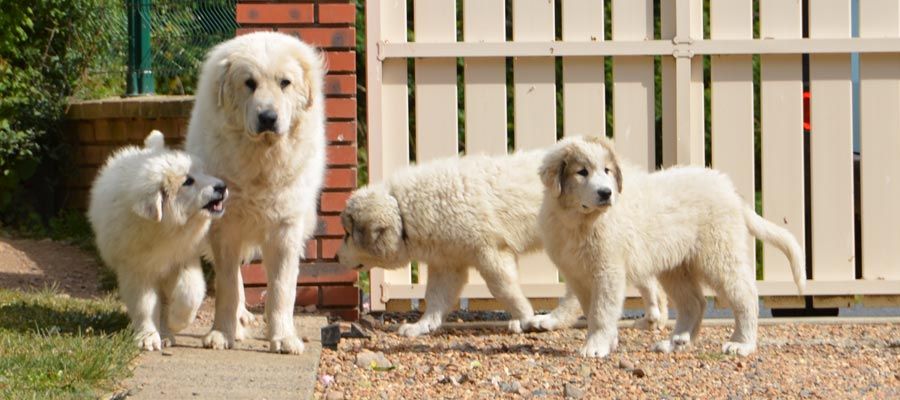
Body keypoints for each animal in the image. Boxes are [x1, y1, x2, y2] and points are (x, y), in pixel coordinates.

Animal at [89, 130, 229, 350]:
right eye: (188, 182)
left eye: (203, 172)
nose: (222, 186)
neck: (166, 230)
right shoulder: (136, 271)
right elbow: (145, 305)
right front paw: (147, 337)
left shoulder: (184, 259)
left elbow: (191, 293)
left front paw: (176, 321)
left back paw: (166, 332)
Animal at [185, 32, 326, 354]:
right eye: (249, 83)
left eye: (285, 82)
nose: (268, 117)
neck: (262, 160)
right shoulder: (224, 229)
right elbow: (228, 287)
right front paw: (222, 333)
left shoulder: (286, 230)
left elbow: (282, 290)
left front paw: (283, 337)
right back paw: (237, 325)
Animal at [338, 150, 668, 338]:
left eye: (347, 234)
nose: (335, 256)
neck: (404, 210)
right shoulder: (448, 263)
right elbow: (435, 299)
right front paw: (422, 327)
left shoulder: (490, 251)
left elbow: (503, 289)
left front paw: (525, 318)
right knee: (647, 279)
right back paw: (653, 318)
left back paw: (549, 320)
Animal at [536, 136, 804, 358]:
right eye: (581, 172)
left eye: (607, 170)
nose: (606, 193)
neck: (580, 221)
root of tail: (728, 188)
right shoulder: (578, 275)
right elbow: (592, 310)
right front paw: (606, 342)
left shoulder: (608, 270)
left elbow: (602, 312)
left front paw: (595, 347)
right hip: (676, 266)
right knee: (694, 303)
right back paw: (676, 342)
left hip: (719, 254)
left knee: (745, 294)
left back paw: (741, 344)